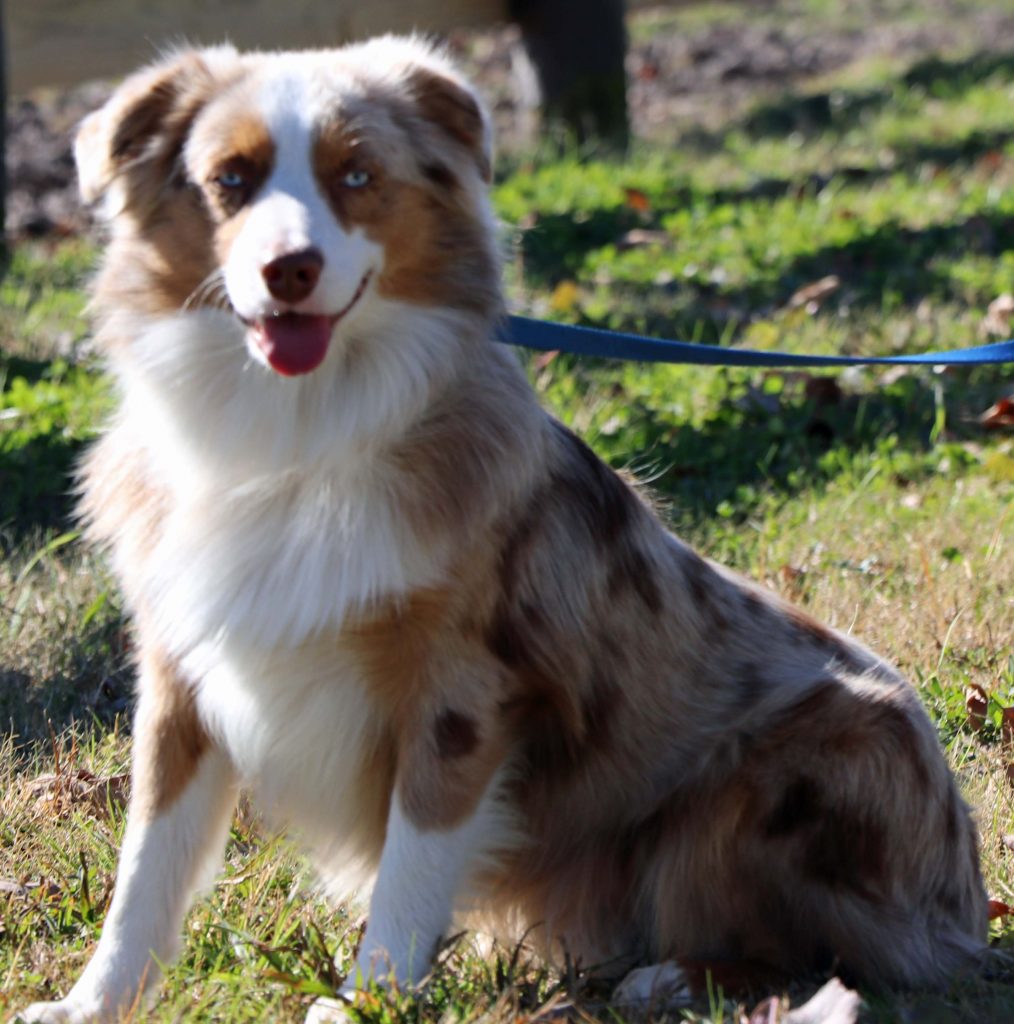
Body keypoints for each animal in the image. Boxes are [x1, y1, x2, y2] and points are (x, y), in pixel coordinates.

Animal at [13, 36, 983, 1019]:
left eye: (357, 175)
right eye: (230, 179)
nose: (289, 269)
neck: (294, 436)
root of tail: (964, 900)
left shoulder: (460, 693)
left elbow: (411, 864)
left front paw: (368, 997)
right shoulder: (181, 672)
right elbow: (147, 863)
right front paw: (92, 1001)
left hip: (792, 765)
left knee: (833, 950)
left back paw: (669, 976)